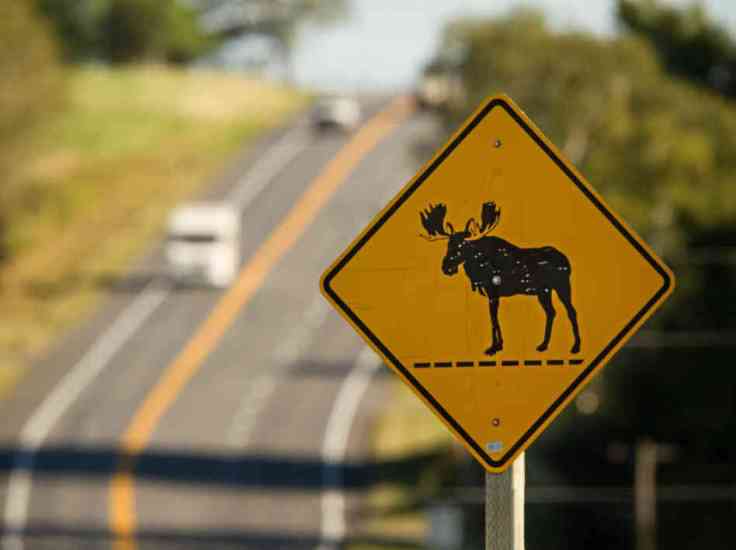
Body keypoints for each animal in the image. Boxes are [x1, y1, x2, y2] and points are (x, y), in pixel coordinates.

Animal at [420, 201, 581, 356]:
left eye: (462, 245)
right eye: (448, 245)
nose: (446, 267)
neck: (478, 267)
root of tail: (567, 261)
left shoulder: (493, 292)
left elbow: (493, 320)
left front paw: (493, 348)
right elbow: (494, 320)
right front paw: (498, 345)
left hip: (562, 286)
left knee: (571, 311)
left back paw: (576, 346)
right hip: (544, 291)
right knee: (551, 312)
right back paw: (544, 345)